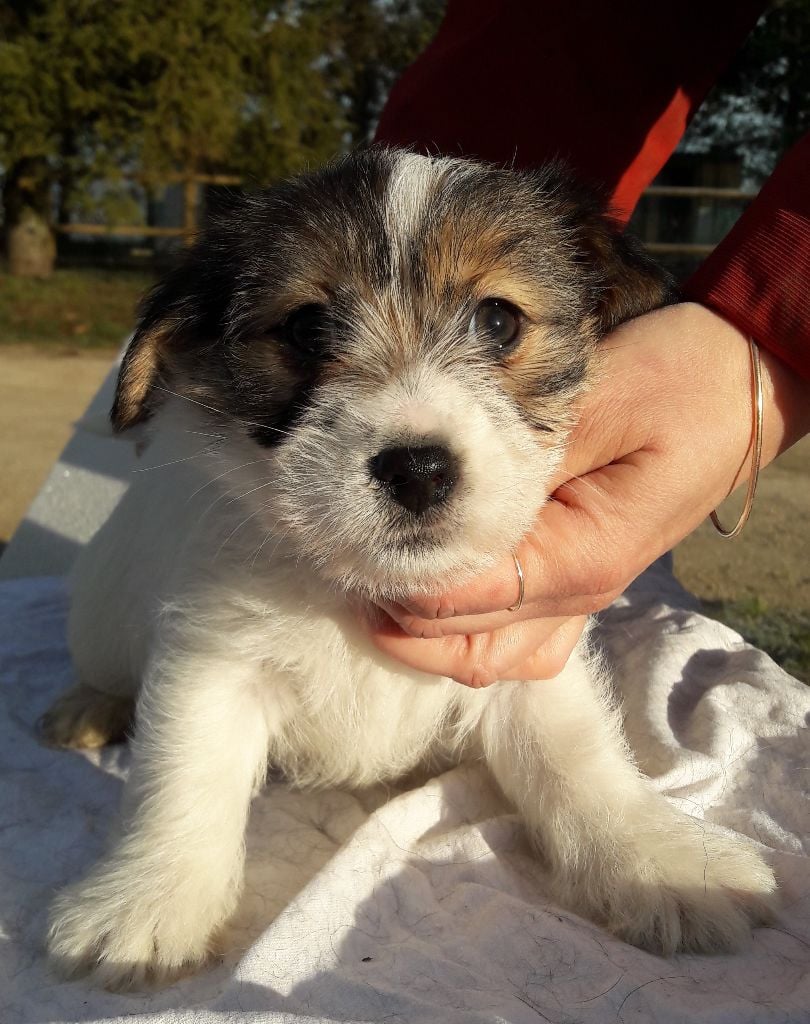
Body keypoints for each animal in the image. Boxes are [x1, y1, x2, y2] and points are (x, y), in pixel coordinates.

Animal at [41, 148, 774, 987]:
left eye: (499, 320)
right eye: (307, 327)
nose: (418, 470)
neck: (360, 583)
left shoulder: (524, 666)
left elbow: (580, 760)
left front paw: (660, 857)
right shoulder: (214, 659)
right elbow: (185, 774)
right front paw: (148, 901)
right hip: (102, 616)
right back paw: (86, 707)